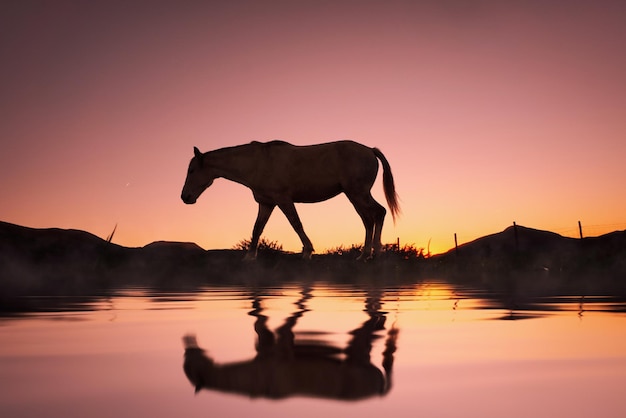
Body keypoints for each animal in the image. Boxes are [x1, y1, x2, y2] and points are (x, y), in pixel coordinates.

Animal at [179, 139, 400, 260]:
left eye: (191, 170)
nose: (185, 197)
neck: (257, 162)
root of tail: (370, 150)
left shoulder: (283, 200)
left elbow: (296, 224)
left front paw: (308, 251)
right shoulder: (266, 203)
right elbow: (257, 228)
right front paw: (249, 256)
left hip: (357, 194)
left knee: (377, 214)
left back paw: (375, 252)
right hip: (354, 196)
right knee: (368, 219)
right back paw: (364, 254)